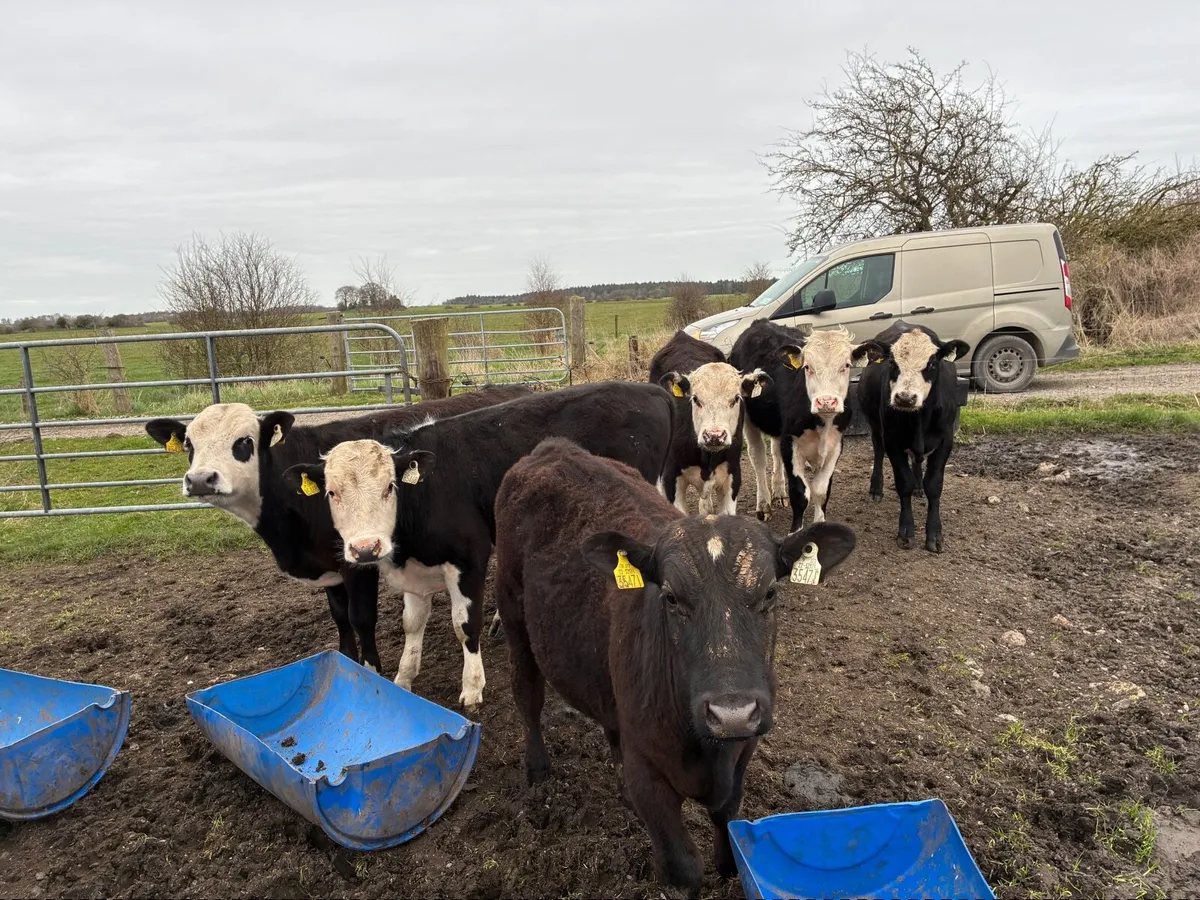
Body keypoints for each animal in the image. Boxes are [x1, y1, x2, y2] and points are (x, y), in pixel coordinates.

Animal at [143, 384, 529, 673]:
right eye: (189, 444)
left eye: (244, 442)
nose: (200, 479)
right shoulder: (329, 566)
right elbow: (340, 616)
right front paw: (345, 660)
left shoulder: (359, 562)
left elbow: (361, 617)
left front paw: (371, 669)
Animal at [281, 381, 674, 709]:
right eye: (332, 492)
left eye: (389, 487)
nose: (365, 549)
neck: (425, 493)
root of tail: (651, 390)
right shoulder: (414, 572)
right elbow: (411, 622)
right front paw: (404, 678)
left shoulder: (468, 558)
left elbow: (464, 624)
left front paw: (471, 686)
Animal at [492, 437, 857, 896]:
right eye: (670, 597)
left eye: (771, 592)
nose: (732, 713)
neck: (708, 750)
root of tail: (553, 447)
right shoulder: (650, 776)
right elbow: (684, 868)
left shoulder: (742, 753)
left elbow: (727, 818)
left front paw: (730, 864)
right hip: (513, 614)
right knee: (528, 694)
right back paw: (537, 767)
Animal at [729, 320, 875, 532]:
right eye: (807, 367)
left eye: (846, 365)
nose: (826, 401)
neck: (822, 422)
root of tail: (760, 322)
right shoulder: (791, 443)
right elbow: (800, 492)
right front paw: (795, 533)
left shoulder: (836, 445)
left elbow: (821, 490)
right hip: (748, 417)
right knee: (758, 458)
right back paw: (764, 504)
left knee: (775, 452)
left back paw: (779, 492)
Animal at [856, 321, 970, 552]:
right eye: (892, 362)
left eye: (932, 363)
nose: (905, 398)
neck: (919, 419)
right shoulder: (892, 440)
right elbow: (903, 483)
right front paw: (906, 532)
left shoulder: (946, 440)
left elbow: (934, 485)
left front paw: (934, 534)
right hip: (875, 425)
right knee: (878, 452)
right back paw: (876, 488)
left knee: (917, 461)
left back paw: (919, 487)